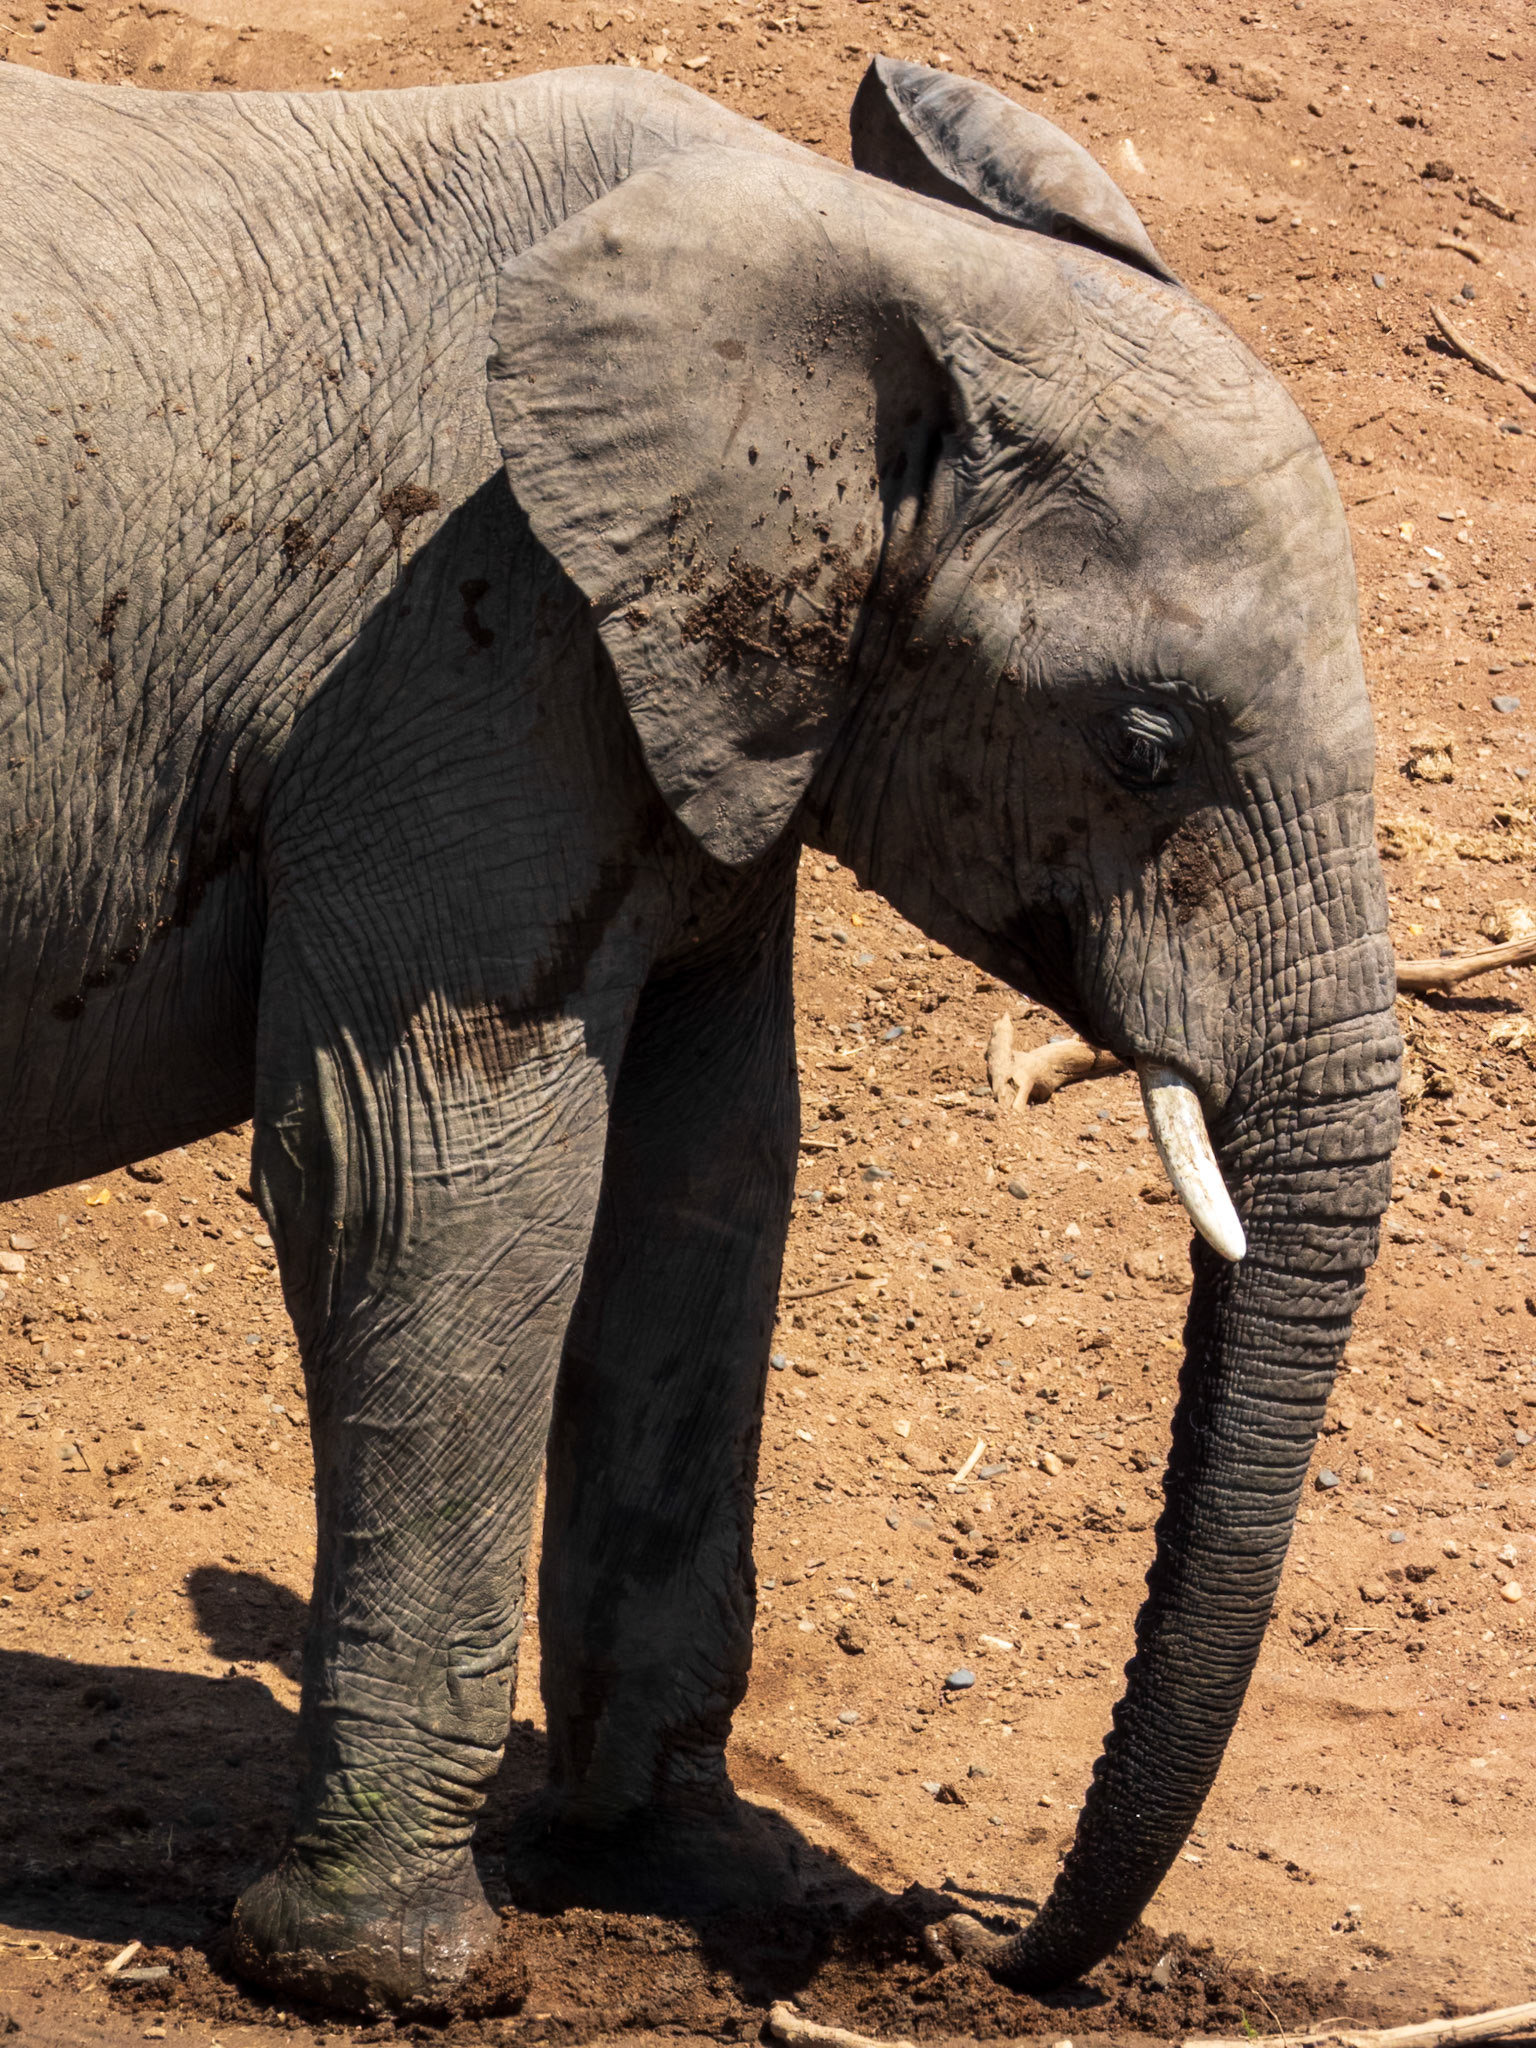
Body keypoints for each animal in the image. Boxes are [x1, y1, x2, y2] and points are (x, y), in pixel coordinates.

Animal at [0, 47, 1399, 2017]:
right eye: (1141, 744)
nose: (991, 1943)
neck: (847, 255)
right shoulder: (462, 645)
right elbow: (429, 1182)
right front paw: (384, 1975)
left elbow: (709, 1171)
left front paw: (676, 1864)